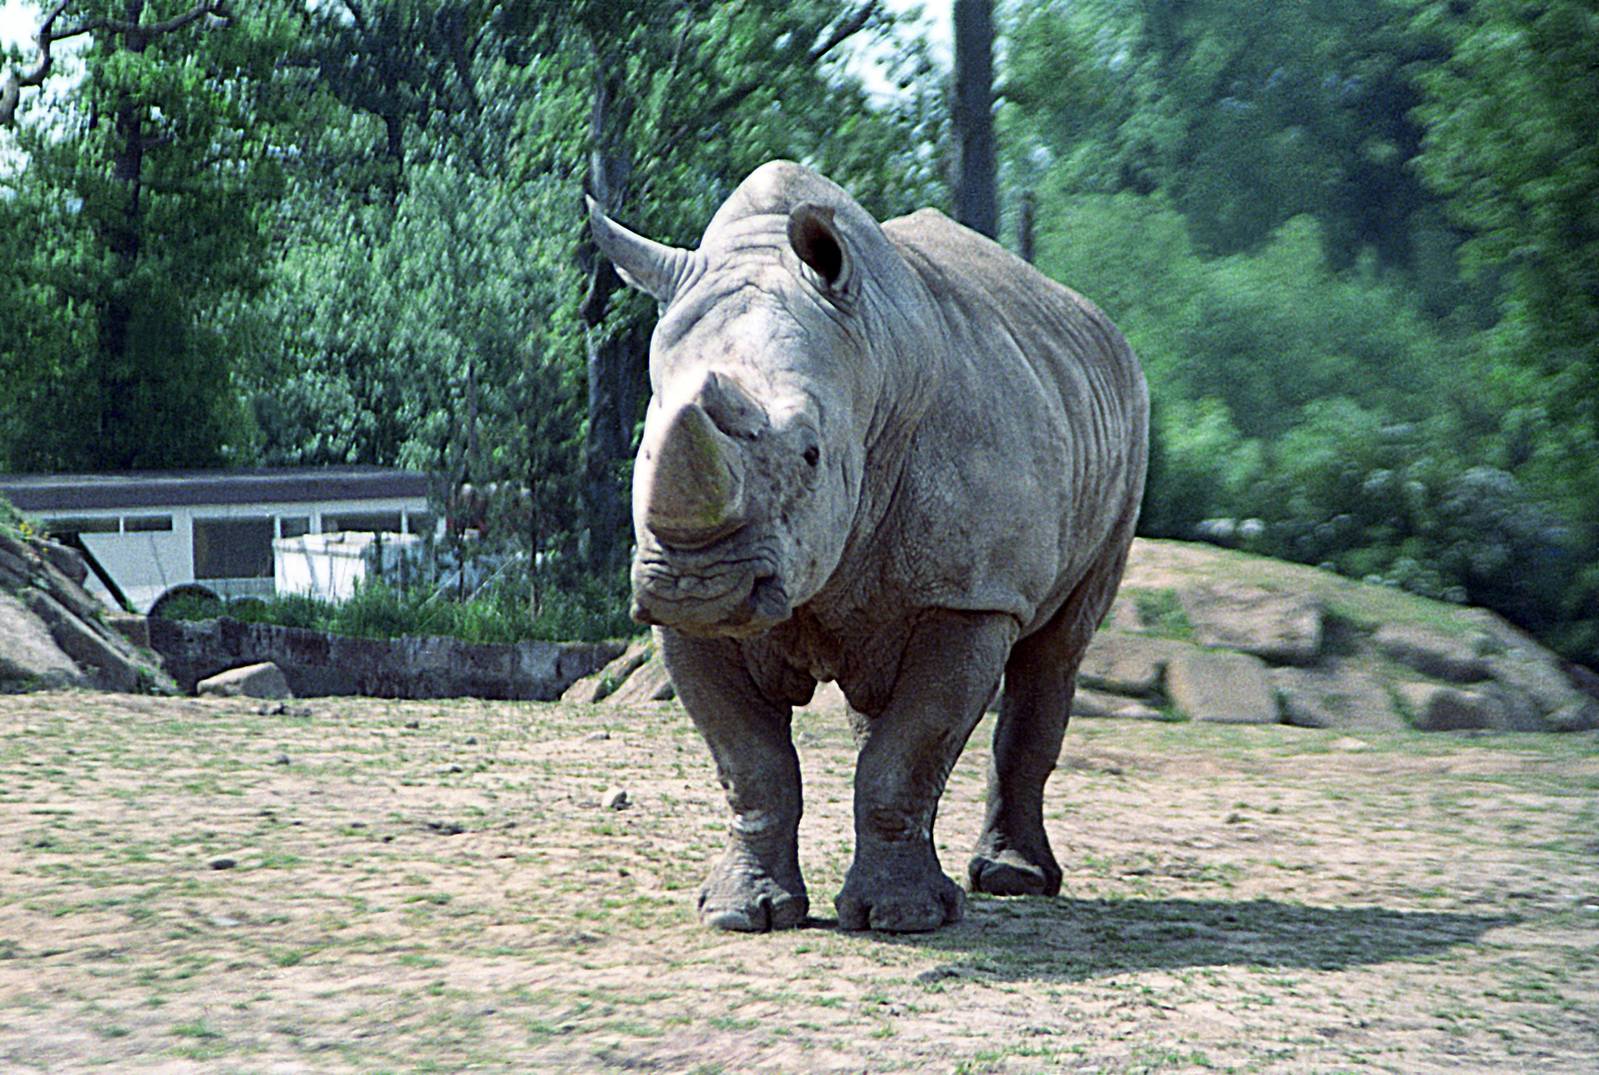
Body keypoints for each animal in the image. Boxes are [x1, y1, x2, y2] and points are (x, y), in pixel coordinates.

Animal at [587, 161, 1148, 933]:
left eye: (812, 454)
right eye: (643, 449)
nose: (697, 585)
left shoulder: (971, 596)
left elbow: (906, 755)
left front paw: (903, 919)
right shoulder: (683, 619)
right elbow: (752, 764)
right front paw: (742, 913)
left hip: (1129, 422)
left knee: (1058, 647)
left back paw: (1011, 880)